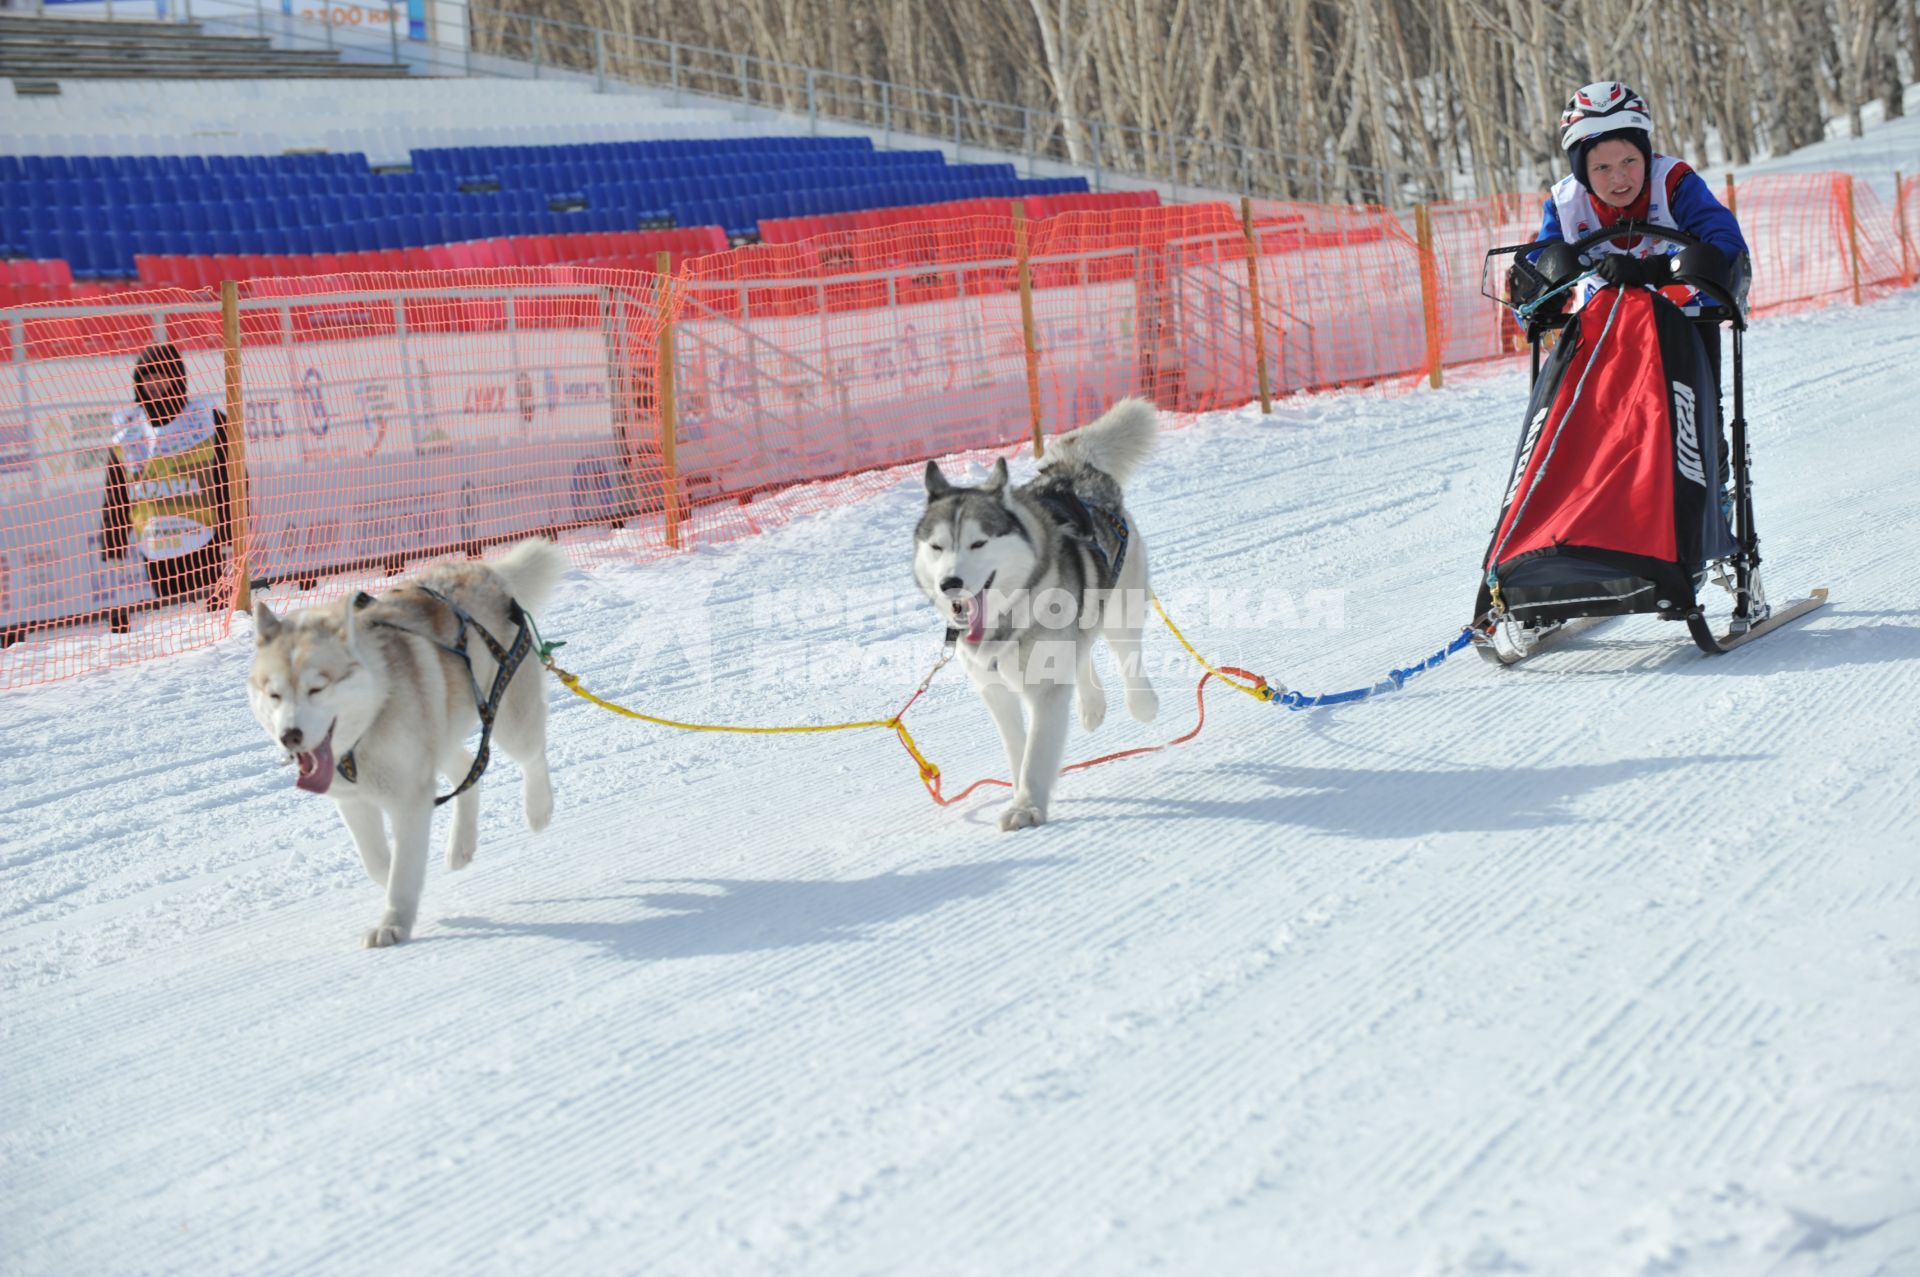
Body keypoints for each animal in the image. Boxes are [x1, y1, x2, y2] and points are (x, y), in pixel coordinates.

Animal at [247, 537, 564, 944]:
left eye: (316, 688)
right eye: (274, 695)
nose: (290, 736)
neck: (363, 734)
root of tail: (483, 570)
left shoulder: (410, 799)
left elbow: (401, 868)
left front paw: (393, 923)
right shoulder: (354, 803)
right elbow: (380, 864)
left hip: (510, 720)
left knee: (532, 755)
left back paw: (539, 809)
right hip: (442, 732)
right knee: (468, 769)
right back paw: (461, 845)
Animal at [910, 403, 1159, 833]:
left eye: (978, 543)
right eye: (937, 546)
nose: (950, 584)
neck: (1006, 624)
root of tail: (1069, 471)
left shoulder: (1044, 690)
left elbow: (1037, 750)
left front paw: (1027, 806)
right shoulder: (995, 691)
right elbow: (1018, 748)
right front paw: (1020, 793)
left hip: (1121, 603)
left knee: (1126, 653)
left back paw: (1142, 702)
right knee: (1084, 648)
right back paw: (1091, 704)